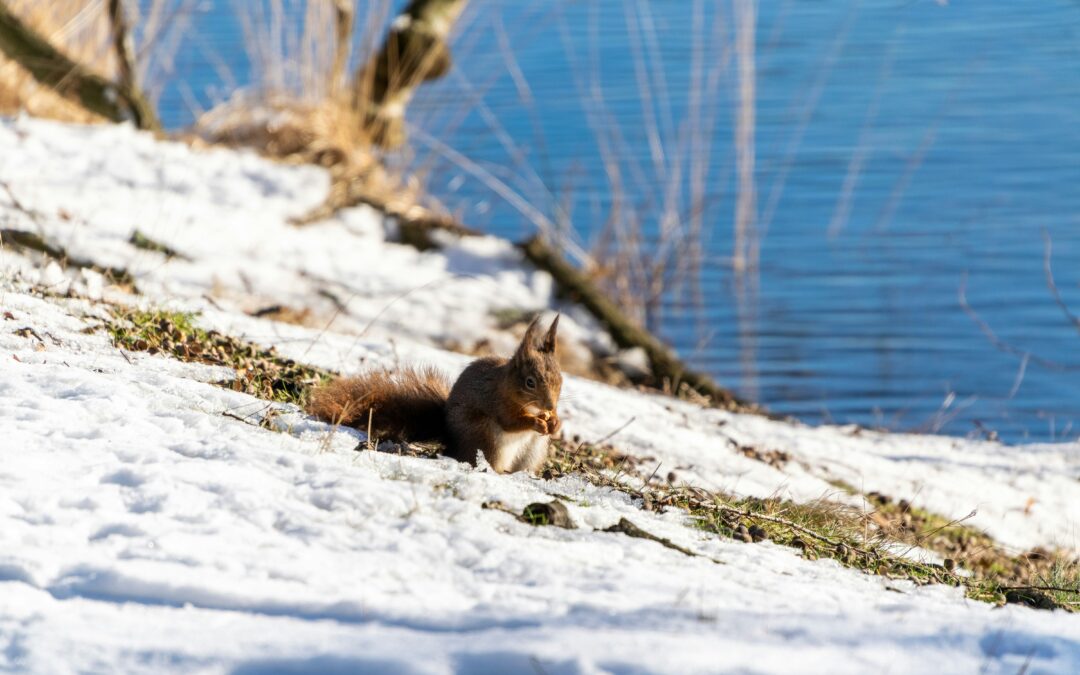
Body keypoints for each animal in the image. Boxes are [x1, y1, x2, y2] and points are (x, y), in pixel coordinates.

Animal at [307, 315, 563, 474]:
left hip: (534, 451)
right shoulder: (495, 401)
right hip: (485, 438)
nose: (550, 406)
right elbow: (511, 421)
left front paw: (555, 423)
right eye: (529, 382)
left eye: (561, 380)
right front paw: (537, 422)